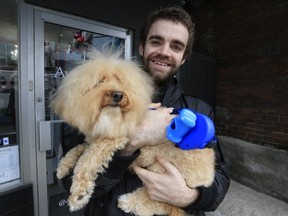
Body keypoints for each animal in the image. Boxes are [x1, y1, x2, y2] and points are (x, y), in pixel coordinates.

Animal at [50, 49, 215, 215]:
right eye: (99, 81)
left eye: (121, 81)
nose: (117, 94)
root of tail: (210, 171)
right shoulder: (95, 140)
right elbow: (78, 149)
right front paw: (63, 167)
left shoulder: (113, 140)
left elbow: (87, 160)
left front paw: (79, 195)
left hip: (163, 173)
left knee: (158, 200)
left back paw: (128, 202)